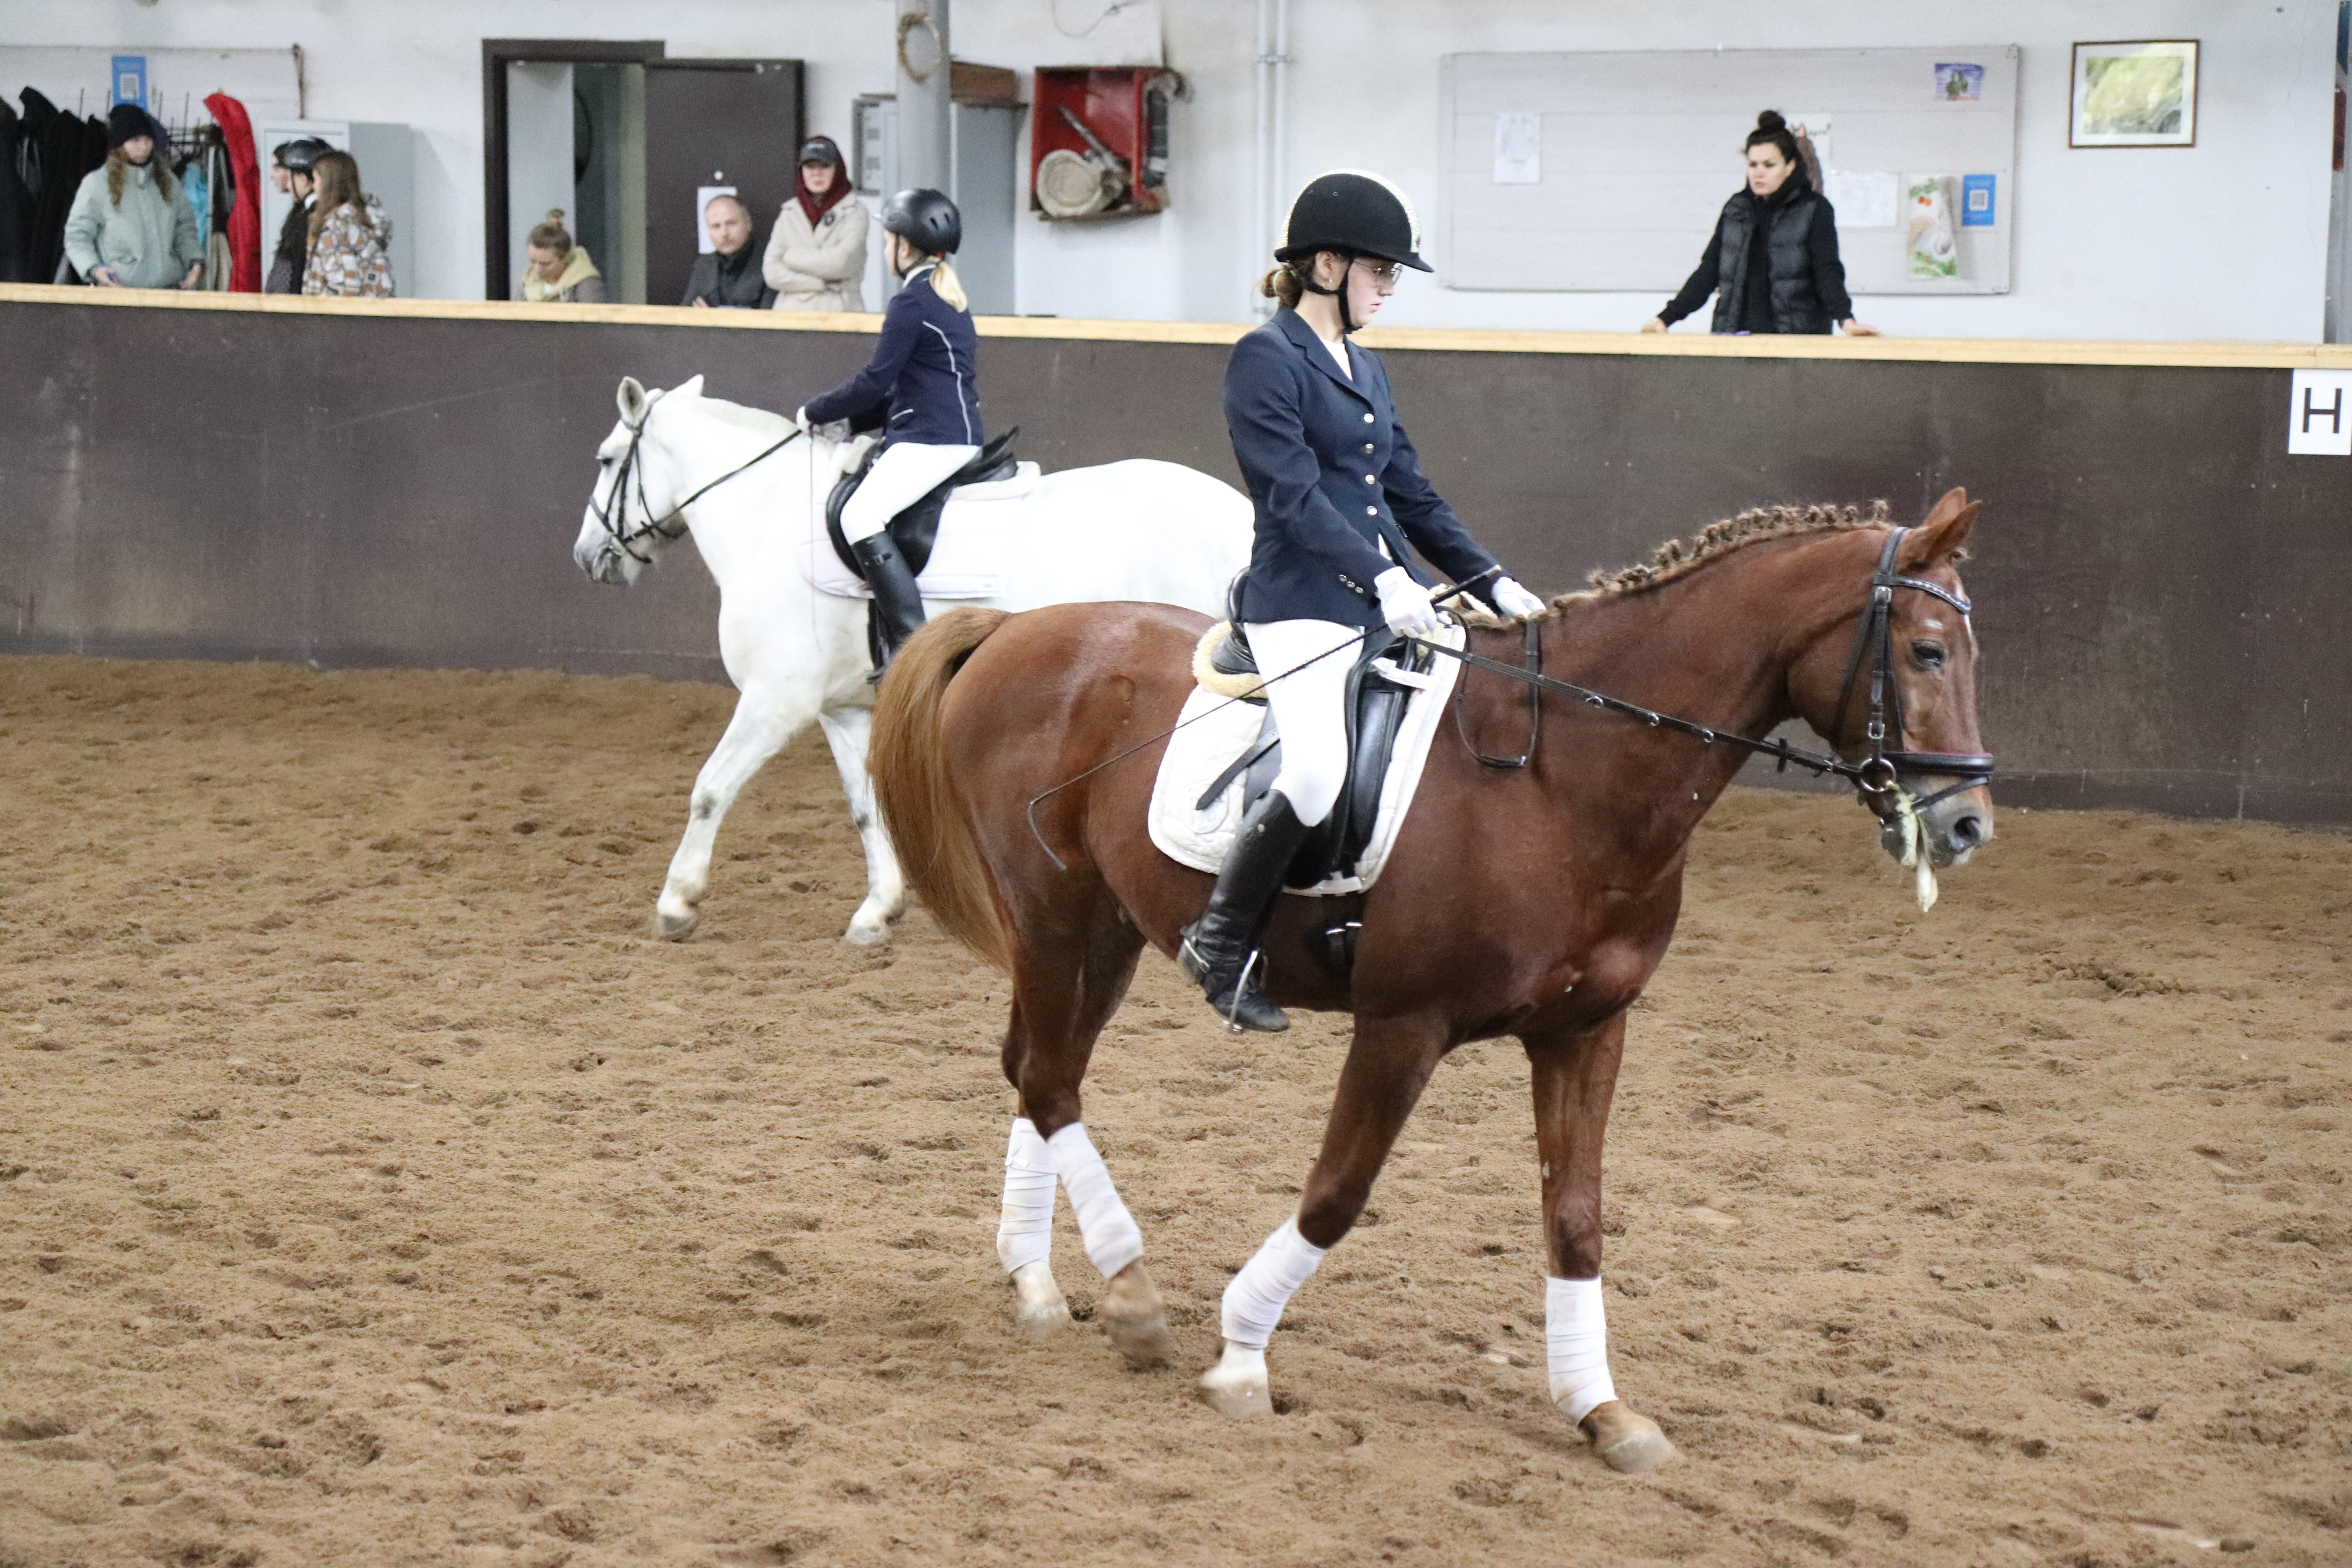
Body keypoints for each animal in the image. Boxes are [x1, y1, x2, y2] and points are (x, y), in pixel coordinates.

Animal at [579, 376, 1261, 945]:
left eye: (608, 459)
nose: (587, 557)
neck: (769, 518)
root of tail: (1240, 513)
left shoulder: (776, 700)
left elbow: (710, 789)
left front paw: (677, 902)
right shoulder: (843, 709)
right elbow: (865, 806)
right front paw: (877, 911)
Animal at [866, 486, 1985, 1476]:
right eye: (1928, 651)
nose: (1967, 823)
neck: (1566, 782)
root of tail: (1017, 628)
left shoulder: (1588, 1029)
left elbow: (1576, 1218)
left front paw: (1603, 1410)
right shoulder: (1401, 1025)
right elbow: (1336, 1195)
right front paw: (1241, 1356)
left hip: (1107, 930)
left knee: (1036, 1067)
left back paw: (1037, 1283)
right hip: (1054, 915)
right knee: (1051, 1078)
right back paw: (1134, 1297)